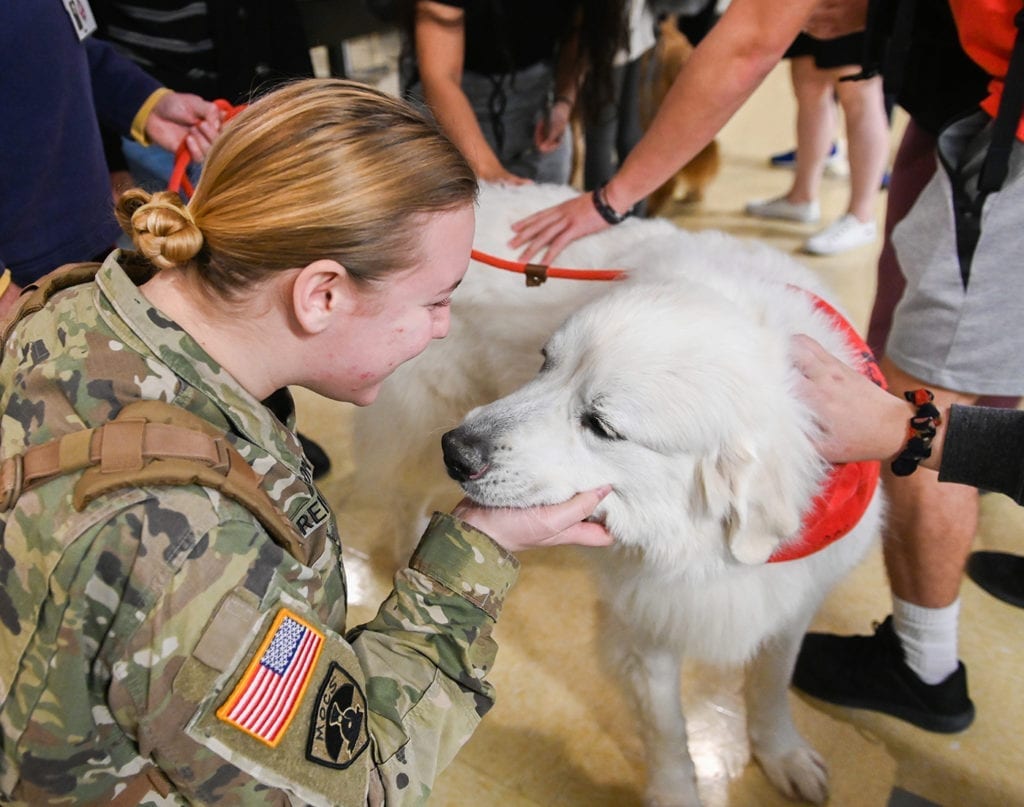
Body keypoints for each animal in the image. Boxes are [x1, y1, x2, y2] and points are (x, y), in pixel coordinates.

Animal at [344, 184, 880, 806]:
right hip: (419, 414)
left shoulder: (791, 603)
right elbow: (667, 730)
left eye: (600, 424)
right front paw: (677, 793)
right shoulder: (644, 628)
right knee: (403, 492)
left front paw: (783, 753)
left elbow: (771, 684)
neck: (702, 547)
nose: (457, 451)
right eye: (546, 363)